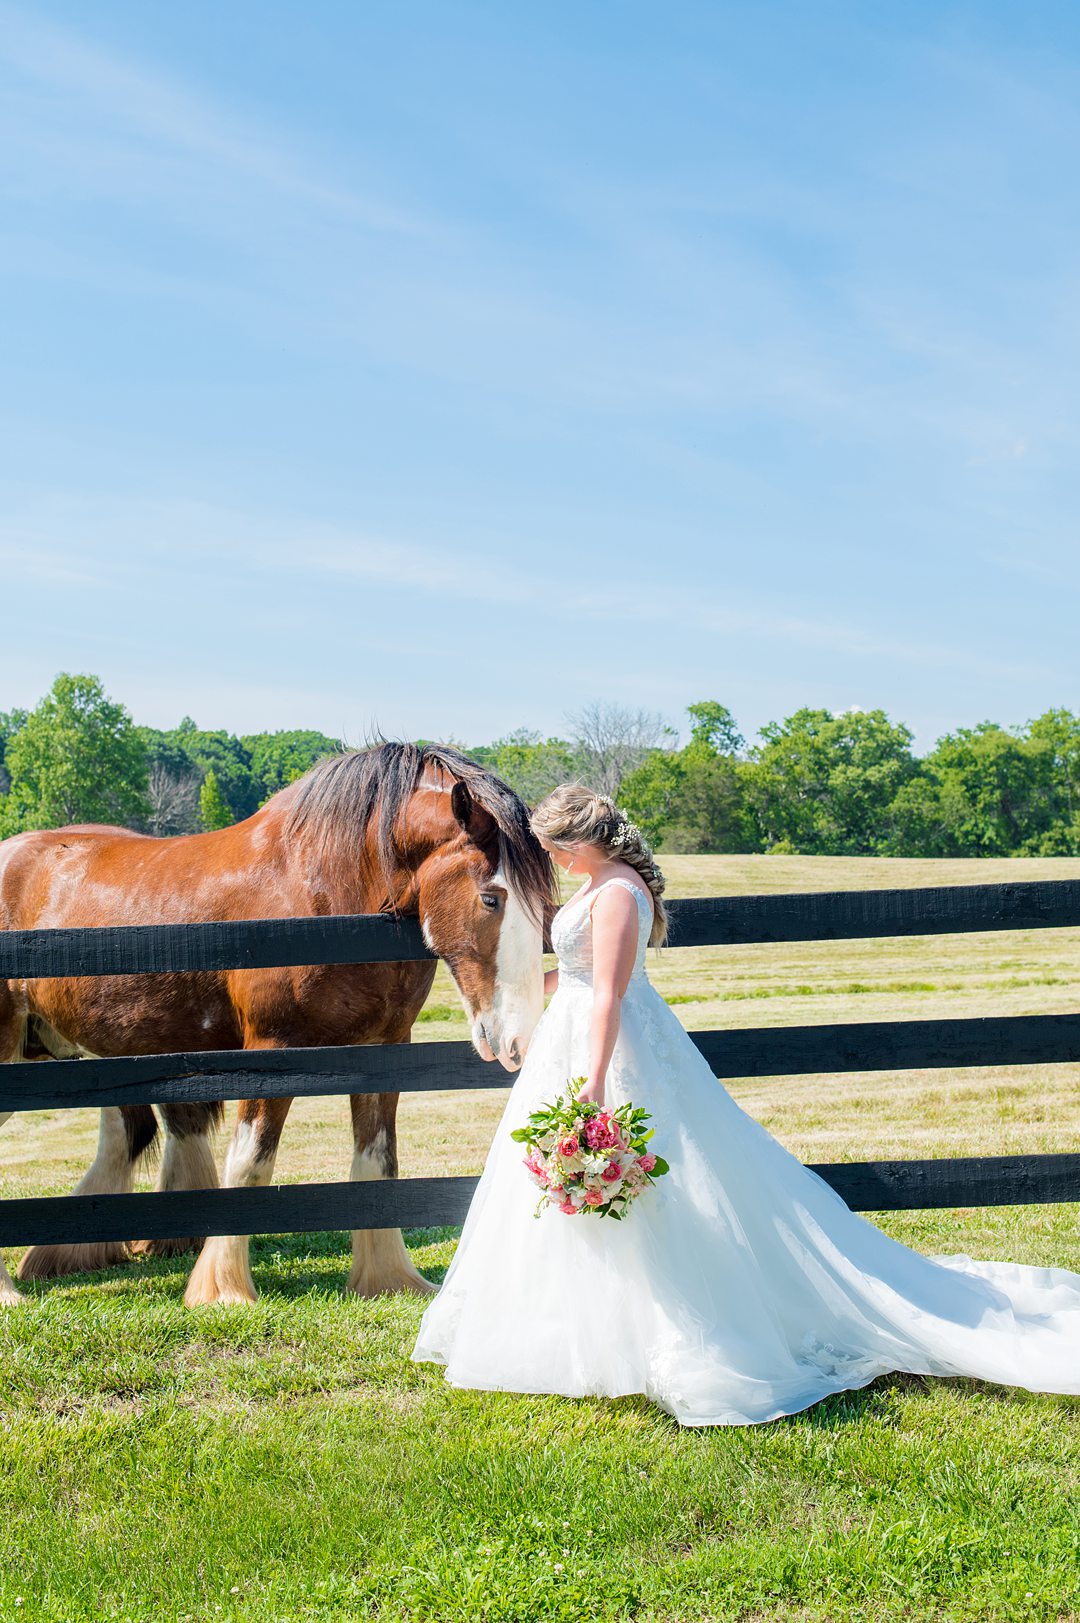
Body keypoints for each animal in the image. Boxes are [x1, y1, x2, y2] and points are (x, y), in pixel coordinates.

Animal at [0, 743, 555, 1311]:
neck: (320, 895)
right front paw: (224, 1289)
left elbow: (377, 1163)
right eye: (490, 898)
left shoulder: (382, 1051)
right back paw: (12, 1292)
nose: (518, 1039)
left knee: (125, 1134)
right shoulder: (271, 1051)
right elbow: (250, 1163)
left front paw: (386, 1277)